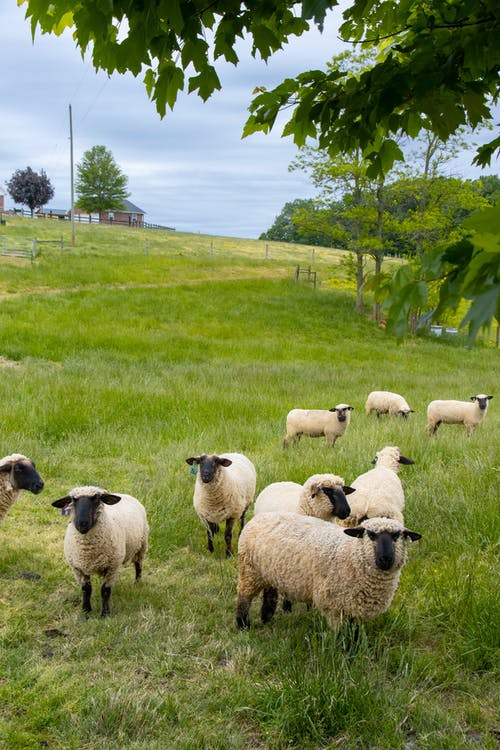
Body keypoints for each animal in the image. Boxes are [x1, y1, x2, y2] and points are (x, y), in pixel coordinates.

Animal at [52, 484, 148, 620]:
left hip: (142, 545)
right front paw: (86, 611)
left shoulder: (112, 567)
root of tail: (123, 494)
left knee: (138, 564)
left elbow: (105, 591)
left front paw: (105, 614)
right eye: (73, 500)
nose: (82, 524)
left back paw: (137, 583)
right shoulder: (78, 568)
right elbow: (86, 590)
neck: (88, 551)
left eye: (97, 499)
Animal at [236, 516, 420, 632]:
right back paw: (243, 625)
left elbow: (354, 633)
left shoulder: (355, 607)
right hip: (249, 571)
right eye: (371, 534)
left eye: (397, 536)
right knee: (244, 597)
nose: (385, 559)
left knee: (269, 594)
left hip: (269, 573)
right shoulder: (334, 606)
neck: (350, 553)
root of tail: (259, 516)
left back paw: (267, 618)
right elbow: (342, 636)